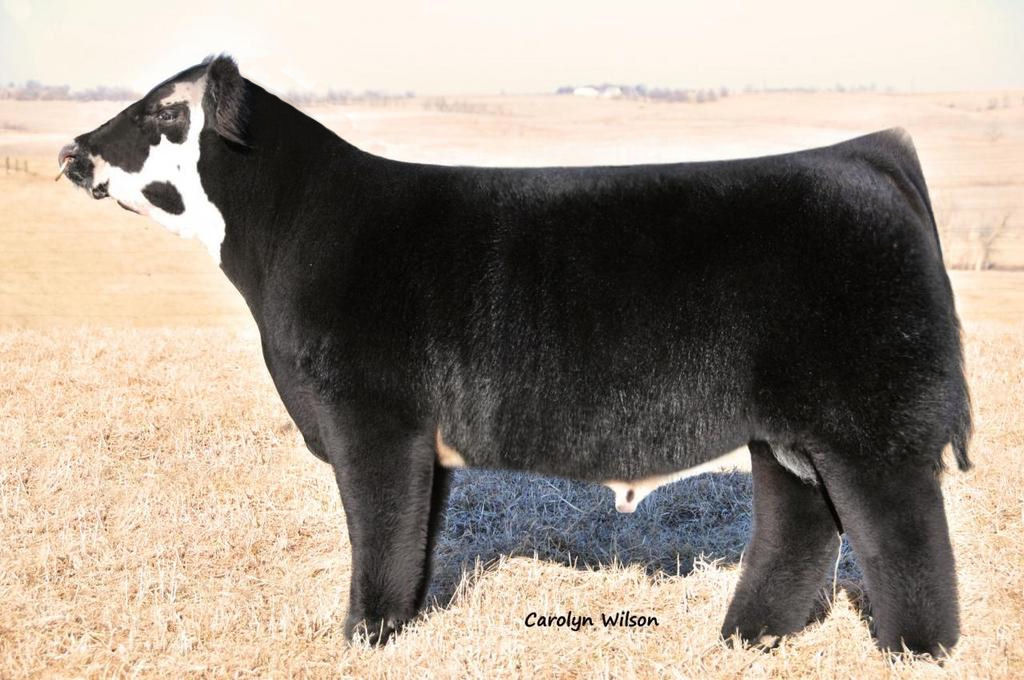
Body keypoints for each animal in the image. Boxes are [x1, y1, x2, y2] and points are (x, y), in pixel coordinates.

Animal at [58, 56, 972, 657]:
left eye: (162, 113)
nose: (73, 151)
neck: (291, 234)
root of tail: (865, 154)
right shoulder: (416, 443)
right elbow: (414, 536)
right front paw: (400, 626)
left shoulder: (372, 422)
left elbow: (378, 531)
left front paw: (361, 636)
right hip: (788, 431)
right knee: (801, 522)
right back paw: (748, 637)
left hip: (873, 426)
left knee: (904, 536)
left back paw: (916, 651)